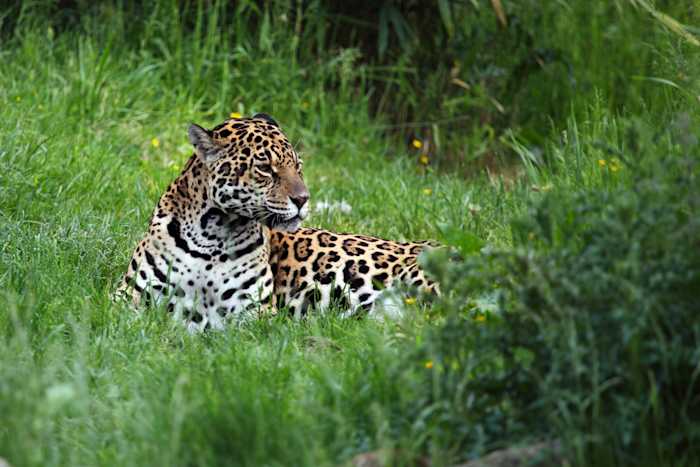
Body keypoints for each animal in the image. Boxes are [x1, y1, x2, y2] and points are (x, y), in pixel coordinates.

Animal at [116, 114, 438, 331]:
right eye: (265, 168)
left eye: (298, 166)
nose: (304, 199)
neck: (213, 234)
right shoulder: (129, 295)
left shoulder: (253, 313)